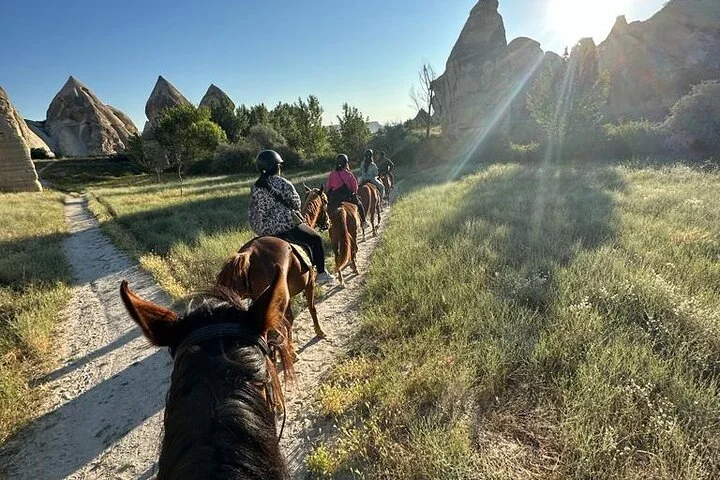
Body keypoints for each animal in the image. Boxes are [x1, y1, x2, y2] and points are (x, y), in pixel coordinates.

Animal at [215, 187, 330, 355]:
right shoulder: (310, 284)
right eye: (326, 202)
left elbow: (290, 320)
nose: (327, 223)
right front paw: (319, 332)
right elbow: (311, 308)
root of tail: (250, 251)